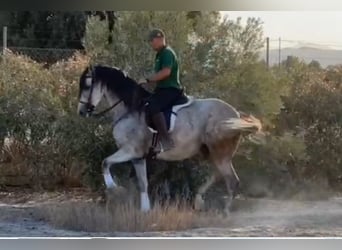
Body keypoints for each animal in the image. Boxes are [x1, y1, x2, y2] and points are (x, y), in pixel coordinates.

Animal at [77, 65, 262, 215]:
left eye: (87, 85)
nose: (81, 112)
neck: (130, 109)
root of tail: (235, 114)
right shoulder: (138, 157)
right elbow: (143, 184)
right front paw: (145, 211)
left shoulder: (130, 150)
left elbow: (105, 162)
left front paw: (114, 187)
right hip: (211, 152)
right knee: (217, 174)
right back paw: (199, 200)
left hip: (219, 151)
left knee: (232, 181)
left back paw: (224, 212)